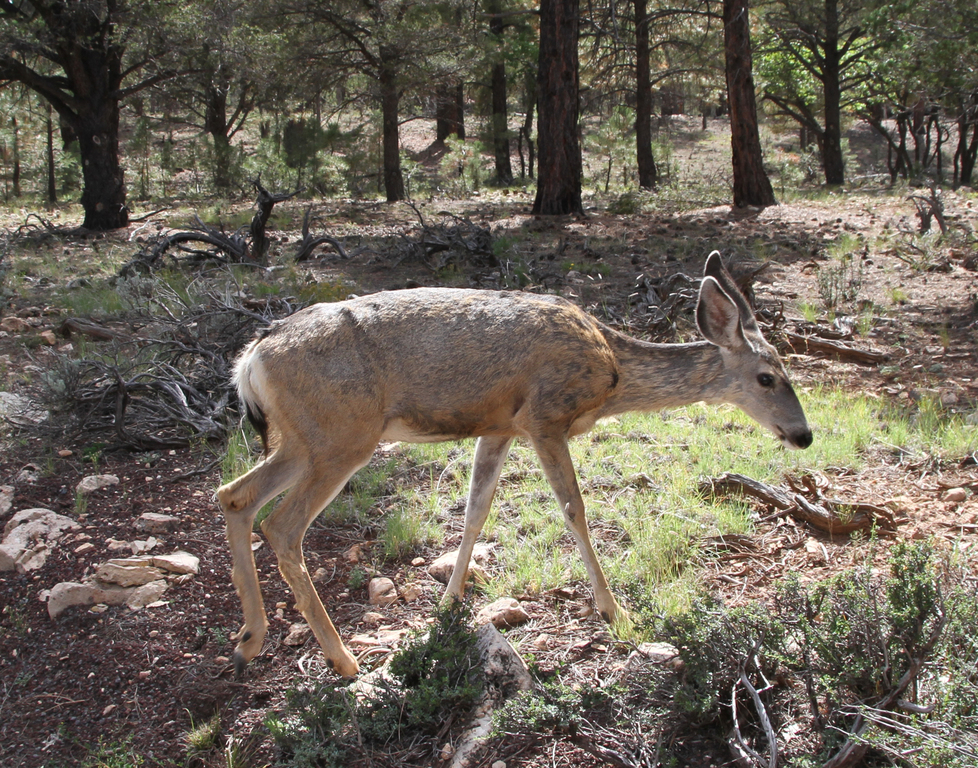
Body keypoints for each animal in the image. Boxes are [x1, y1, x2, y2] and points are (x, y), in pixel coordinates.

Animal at [217, 252, 812, 678]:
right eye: (767, 377)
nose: (804, 435)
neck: (612, 371)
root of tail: (251, 359)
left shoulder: (500, 426)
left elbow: (475, 512)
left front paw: (448, 605)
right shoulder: (545, 415)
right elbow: (574, 511)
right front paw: (614, 611)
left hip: (304, 439)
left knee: (235, 495)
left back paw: (249, 640)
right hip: (341, 436)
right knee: (281, 525)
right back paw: (342, 660)